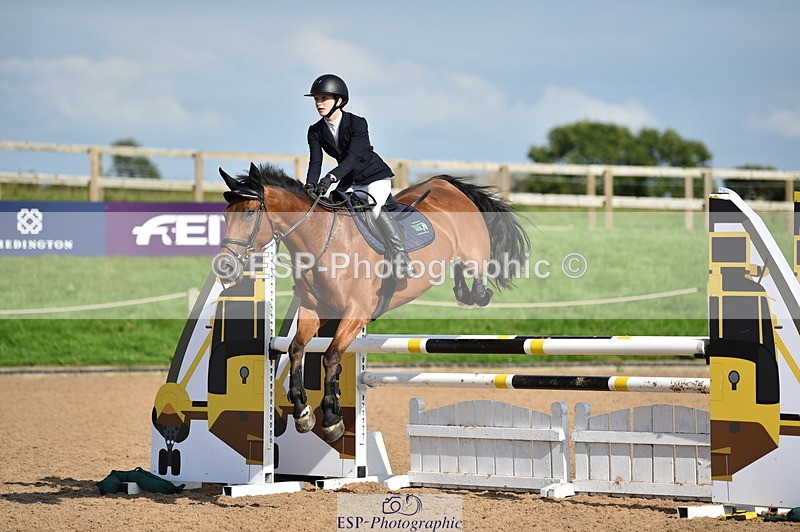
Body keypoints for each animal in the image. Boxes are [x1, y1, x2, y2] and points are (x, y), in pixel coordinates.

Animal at [217, 162, 530, 442]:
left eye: (249, 212)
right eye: (226, 214)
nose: (225, 267)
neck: (321, 240)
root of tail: (446, 184)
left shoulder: (356, 313)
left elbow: (330, 356)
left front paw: (331, 419)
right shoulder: (315, 309)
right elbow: (295, 349)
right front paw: (303, 412)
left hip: (473, 252)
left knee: (477, 274)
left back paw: (476, 293)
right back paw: (463, 290)